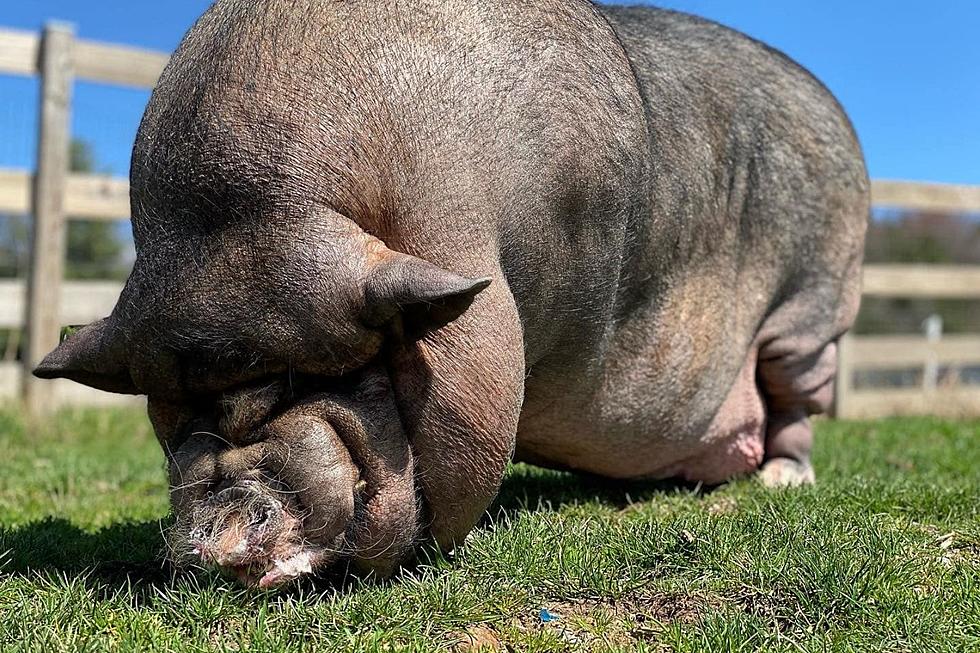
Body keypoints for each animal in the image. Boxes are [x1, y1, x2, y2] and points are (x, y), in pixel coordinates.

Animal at [34, 0, 868, 584]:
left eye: (315, 376)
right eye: (168, 410)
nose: (216, 530)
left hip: (813, 306)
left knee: (798, 401)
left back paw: (784, 480)